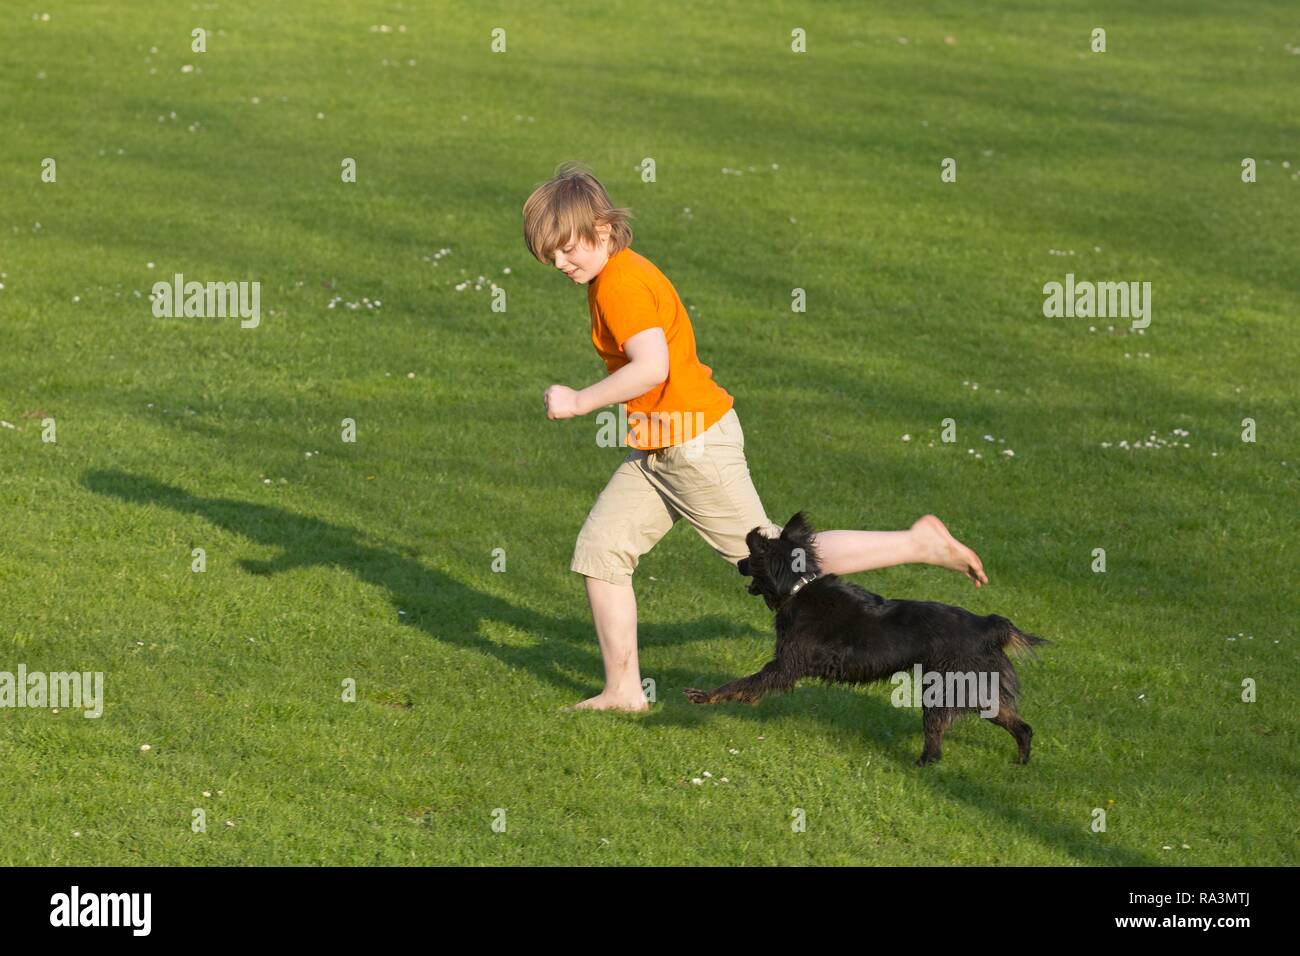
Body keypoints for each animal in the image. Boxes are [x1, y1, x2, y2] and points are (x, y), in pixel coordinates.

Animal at [686, 512, 1050, 764]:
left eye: (750, 558)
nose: (738, 563)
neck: (799, 587)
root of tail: (987, 624)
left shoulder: (784, 667)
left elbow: (740, 684)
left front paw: (704, 697)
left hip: (946, 689)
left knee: (936, 740)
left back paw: (921, 765)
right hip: (976, 689)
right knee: (1021, 726)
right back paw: (1021, 762)